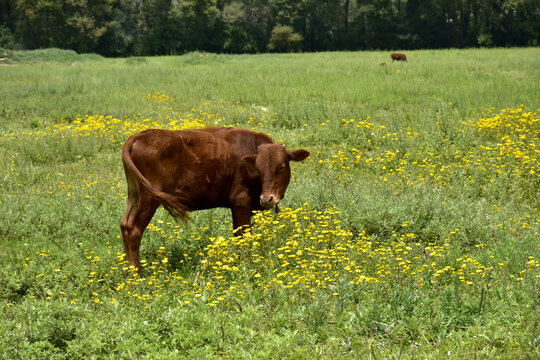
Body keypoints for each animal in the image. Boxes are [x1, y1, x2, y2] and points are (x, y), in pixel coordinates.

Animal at [120, 128, 310, 272]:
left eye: (282, 166)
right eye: (259, 168)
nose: (267, 199)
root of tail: (141, 135)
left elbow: (238, 235)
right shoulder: (241, 201)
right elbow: (244, 236)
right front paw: (247, 265)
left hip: (134, 194)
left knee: (125, 225)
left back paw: (127, 271)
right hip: (149, 198)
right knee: (135, 230)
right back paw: (136, 274)